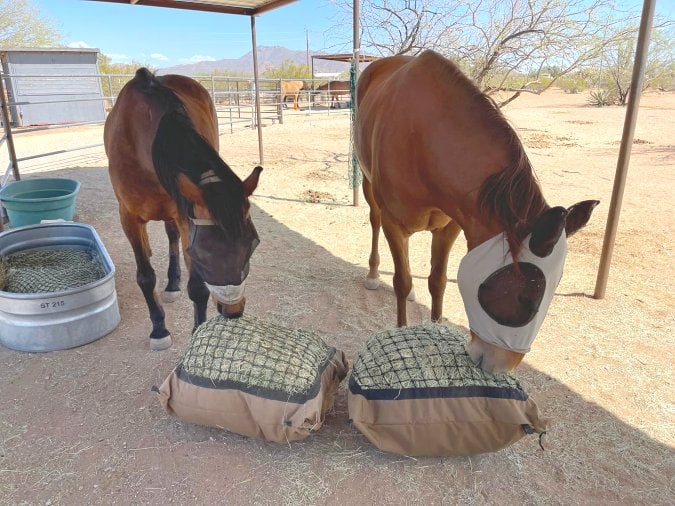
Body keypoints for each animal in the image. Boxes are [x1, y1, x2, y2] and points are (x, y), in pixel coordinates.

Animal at [105, 67, 262, 350]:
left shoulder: (184, 215)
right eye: (202, 253)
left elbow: (198, 287)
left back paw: (173, 282)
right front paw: (159, 329)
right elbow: (145, 276)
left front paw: (197, 331)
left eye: (252, 245)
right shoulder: (129, 217)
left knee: (172, 236)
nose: (234, 310)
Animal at [356, 51, 600, 374]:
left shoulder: (449, 227)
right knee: (373, 221)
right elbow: (401, 281)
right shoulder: (394, 224)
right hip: (368, 184)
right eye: (525, 299)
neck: (423, 139)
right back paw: (373, 274)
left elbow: (438, 281)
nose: (501, 366)